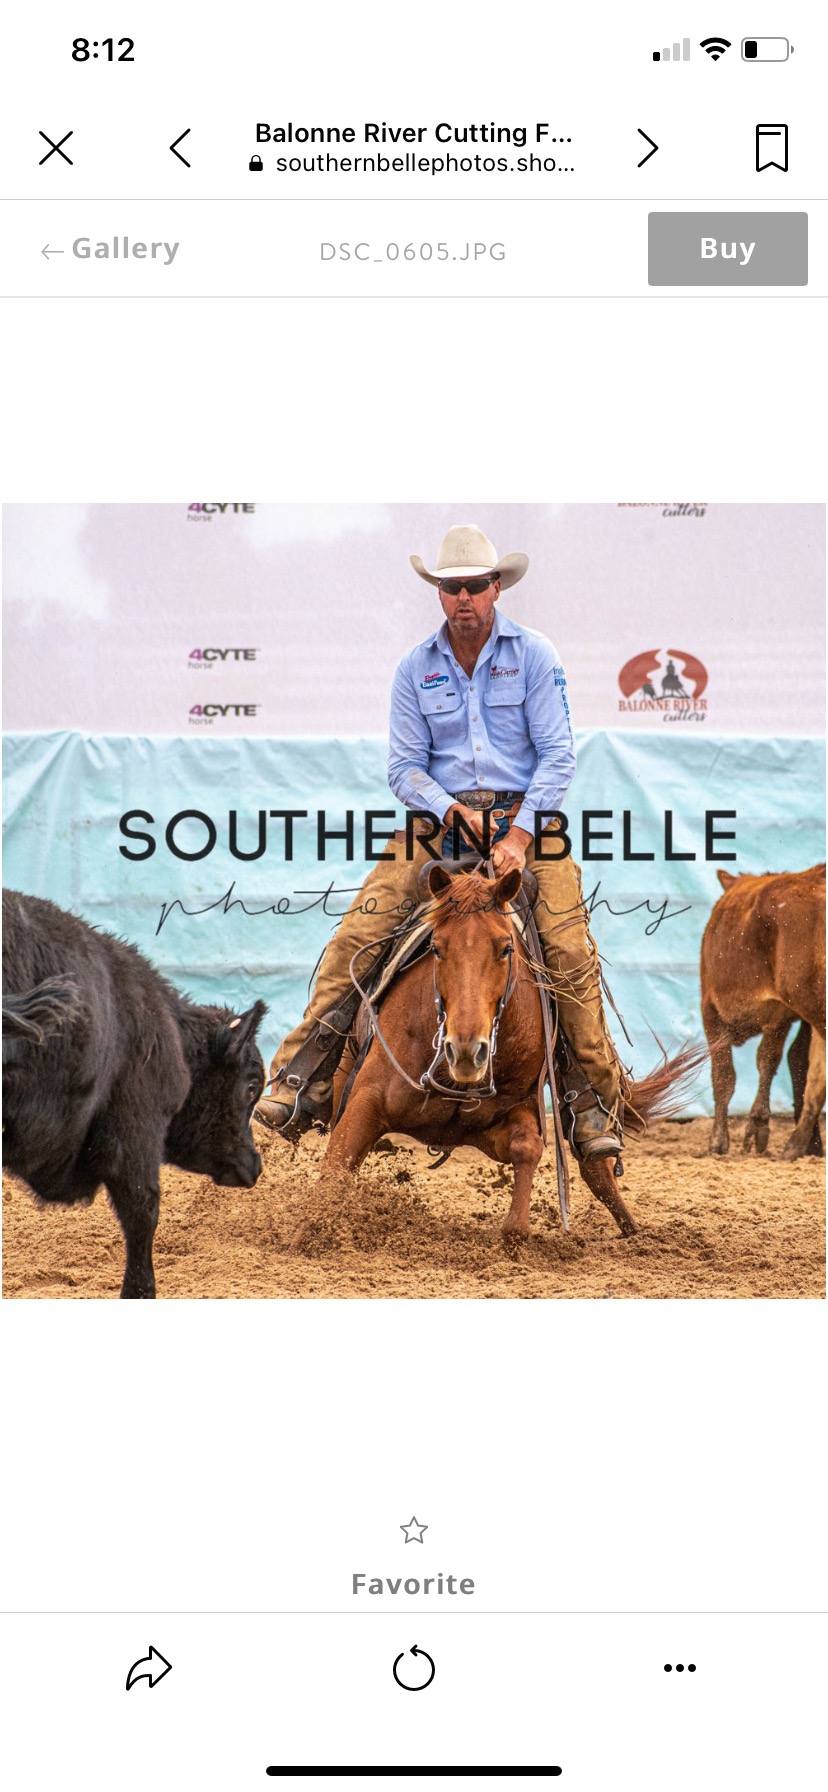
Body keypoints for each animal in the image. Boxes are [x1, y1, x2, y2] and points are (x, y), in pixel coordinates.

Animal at [289, 863, 700, 1251]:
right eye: (436, 947)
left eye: (505, 948)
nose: (467, 1051)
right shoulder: (365, 1100)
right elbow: (335, 1169)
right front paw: (300, 1240)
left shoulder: (514, 1111)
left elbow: (528, 1147)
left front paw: (514, 1236)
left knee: (597, 1169)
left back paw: (635, 1232)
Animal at [700, 865, 826, 1160]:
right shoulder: (778, 1018)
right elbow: (768, 1060)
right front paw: (758, 1125)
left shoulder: (710, 1009)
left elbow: (723, 1076)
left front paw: (718, 1142)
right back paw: (796, 1147)